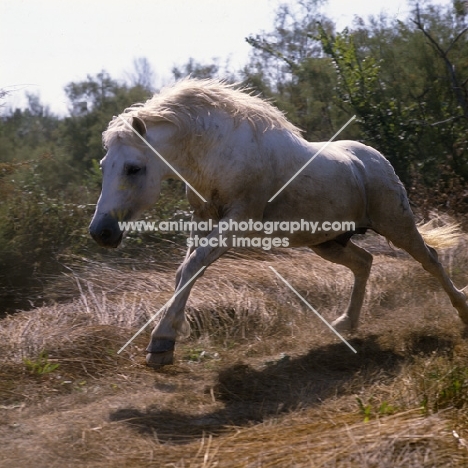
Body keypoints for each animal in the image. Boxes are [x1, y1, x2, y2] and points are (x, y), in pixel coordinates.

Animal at [88, 78, 468, 368]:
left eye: (133, 168)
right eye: (105, 165)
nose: (101, 232)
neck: (217, 153)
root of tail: (374, 158)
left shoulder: (237, 222)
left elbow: (192, 268)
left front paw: (162, 342)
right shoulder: (203, 221)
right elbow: (186, 271)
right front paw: (166, 340)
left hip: (396, 223)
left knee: (430, 259)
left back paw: (462, 310)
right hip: (327, 242)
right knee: (365, 262)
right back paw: (345, 324)